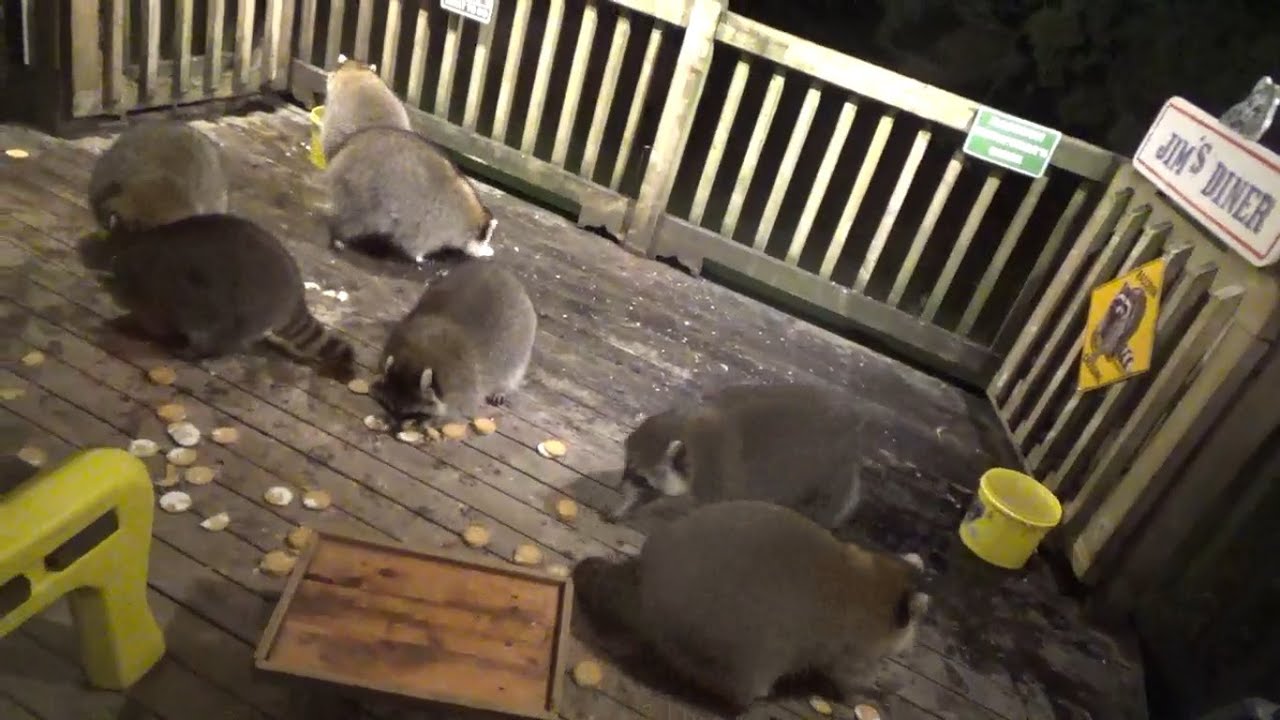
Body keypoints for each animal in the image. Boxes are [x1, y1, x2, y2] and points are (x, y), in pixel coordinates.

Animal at [84, 213, 356, 381]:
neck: (137, 239)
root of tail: (295, 292)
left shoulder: (154, 290)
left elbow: (154, 318)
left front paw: (133, 324)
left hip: (238, 310)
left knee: (220, 335)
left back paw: (200, 350)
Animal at [324, 126, 498, 264]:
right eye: (485, 238)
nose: (484, 248)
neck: (472, 219)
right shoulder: (435, 223)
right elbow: (417, 243)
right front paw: (419, 257)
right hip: (362, 194)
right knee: (358, 219)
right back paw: (339, 234)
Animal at [372, 260, 536, 424]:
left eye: (412, 414)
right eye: (389, 407)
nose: (392, 425)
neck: (416, 354)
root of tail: (499, 270)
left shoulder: (464, 388)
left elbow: (459, 412)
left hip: (523, 343)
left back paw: (503, 388)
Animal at [574, 500, 929, 712]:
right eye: (915, 628)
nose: (911, 649)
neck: (879, 580)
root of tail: (648, 587)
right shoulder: (854, 648)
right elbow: (847, 680)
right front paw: (869, 693)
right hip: (724, 650)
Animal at [612, 383, 868, 529]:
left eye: (640, 477)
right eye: (627, 468)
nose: (619, 489)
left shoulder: (715, 475)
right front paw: (629, 507)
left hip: (828, 471)